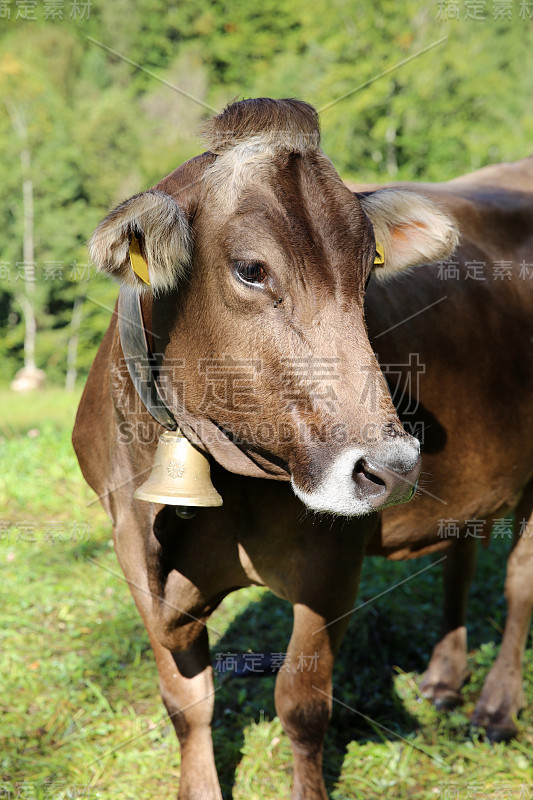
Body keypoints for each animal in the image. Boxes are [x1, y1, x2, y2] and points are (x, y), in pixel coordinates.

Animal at [72, 97, 528, 796]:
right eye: (251, 270)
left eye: (368, 270)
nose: (392, 468)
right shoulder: (128, 542)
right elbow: (186, 701)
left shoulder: (331, 561)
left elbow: (302, 702)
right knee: (464, 555)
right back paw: (444, 681)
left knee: (519, 585)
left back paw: (496, 709)